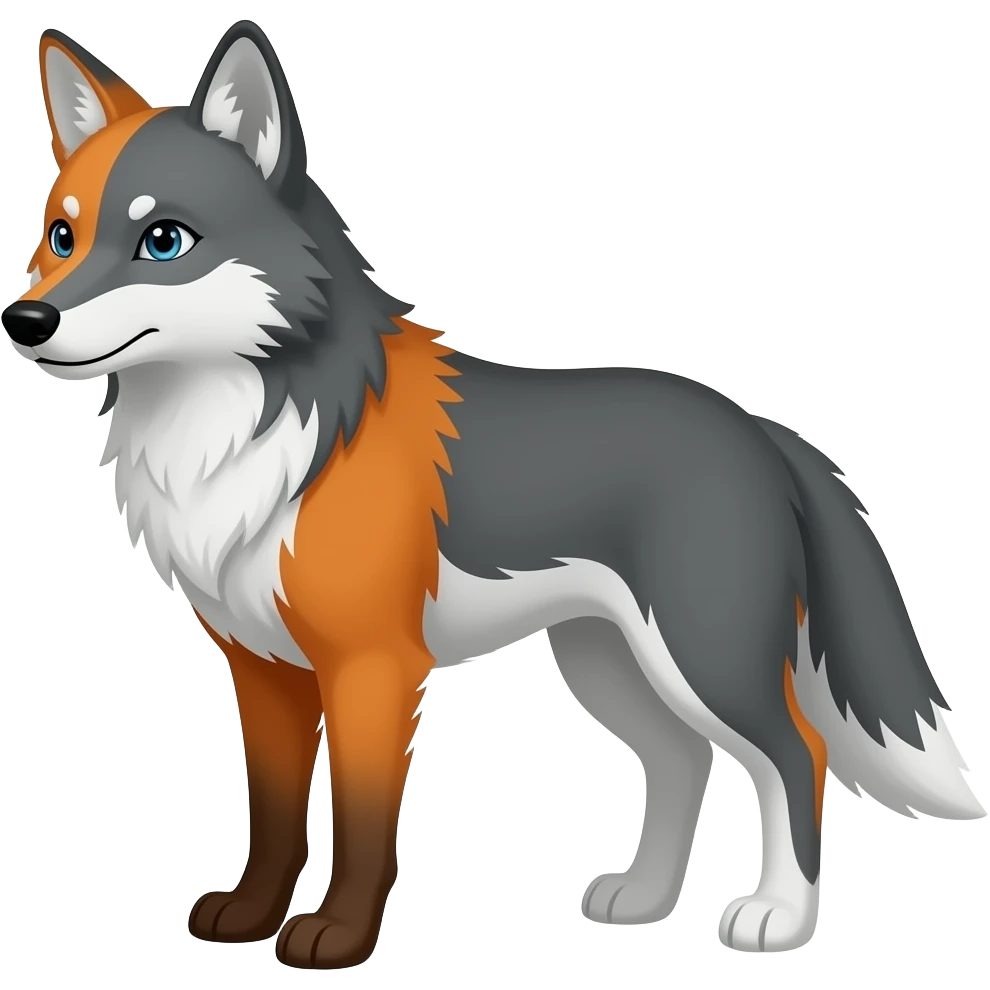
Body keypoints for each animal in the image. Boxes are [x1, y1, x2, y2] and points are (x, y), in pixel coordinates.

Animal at [3, 18, 984, 971]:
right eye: (61, 237)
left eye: (163, 240)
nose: (26, 320)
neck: (259, 436)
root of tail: (757, 426)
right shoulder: (263, 667)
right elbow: (276, 814)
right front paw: (250, 916)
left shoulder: (372, 668)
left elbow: (363, 823)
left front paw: (337, 940)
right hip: (608, 663)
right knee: (683, 760)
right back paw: (643, 900)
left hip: (703, 655)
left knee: (794, 753)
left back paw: (779, 917)